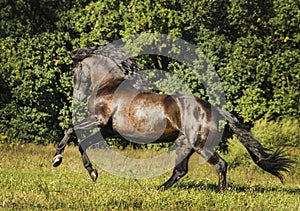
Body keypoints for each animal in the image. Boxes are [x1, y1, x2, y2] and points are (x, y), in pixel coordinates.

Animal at [52, 43, 294, 192]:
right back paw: (158, 189)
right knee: (181, 170)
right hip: (184, 144)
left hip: (200, 144)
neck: (111, 85)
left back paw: (220, 193)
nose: (76, 97)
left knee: (220, 164)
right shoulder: (107, 129)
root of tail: (214, 109)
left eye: (75, 71)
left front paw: (57, 159)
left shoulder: (100, 121)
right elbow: (83, 143)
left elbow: (71, 130)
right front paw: (93, 173)